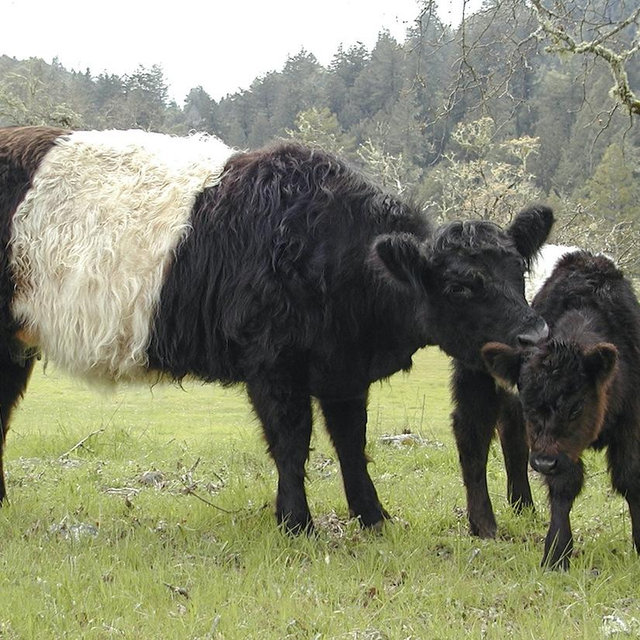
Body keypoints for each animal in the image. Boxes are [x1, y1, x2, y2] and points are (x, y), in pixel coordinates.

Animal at [0, 126, 552, 533]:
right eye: (459, 286)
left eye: (518, 271)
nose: (534, 336)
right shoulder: (272, 363)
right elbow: (291, 439)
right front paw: (296, 522)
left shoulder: (342, 371)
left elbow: (351, 442)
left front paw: (372, 517)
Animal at [483, 250, 640, 568]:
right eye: (527, 402)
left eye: (577, 406)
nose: (544, 463)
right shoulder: (553, 448)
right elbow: (563, 486)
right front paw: (556, 553)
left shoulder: (632, 422)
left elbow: (631, 477)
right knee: (514, 449)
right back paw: (522, 505)